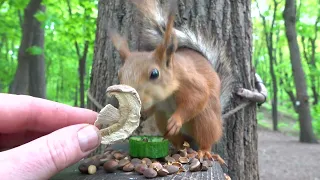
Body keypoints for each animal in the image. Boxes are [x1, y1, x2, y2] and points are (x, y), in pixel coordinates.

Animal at [109, 0, 234, 163]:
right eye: (119, 73)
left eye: (155, 73)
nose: (128, 104)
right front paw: (143, 114)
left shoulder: (189, 82)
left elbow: (198, 97)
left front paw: (176, 120)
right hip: (162, 118)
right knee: (178, 140)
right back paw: (178, 148)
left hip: (206, 118)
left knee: (207, 137)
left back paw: (204, 151)